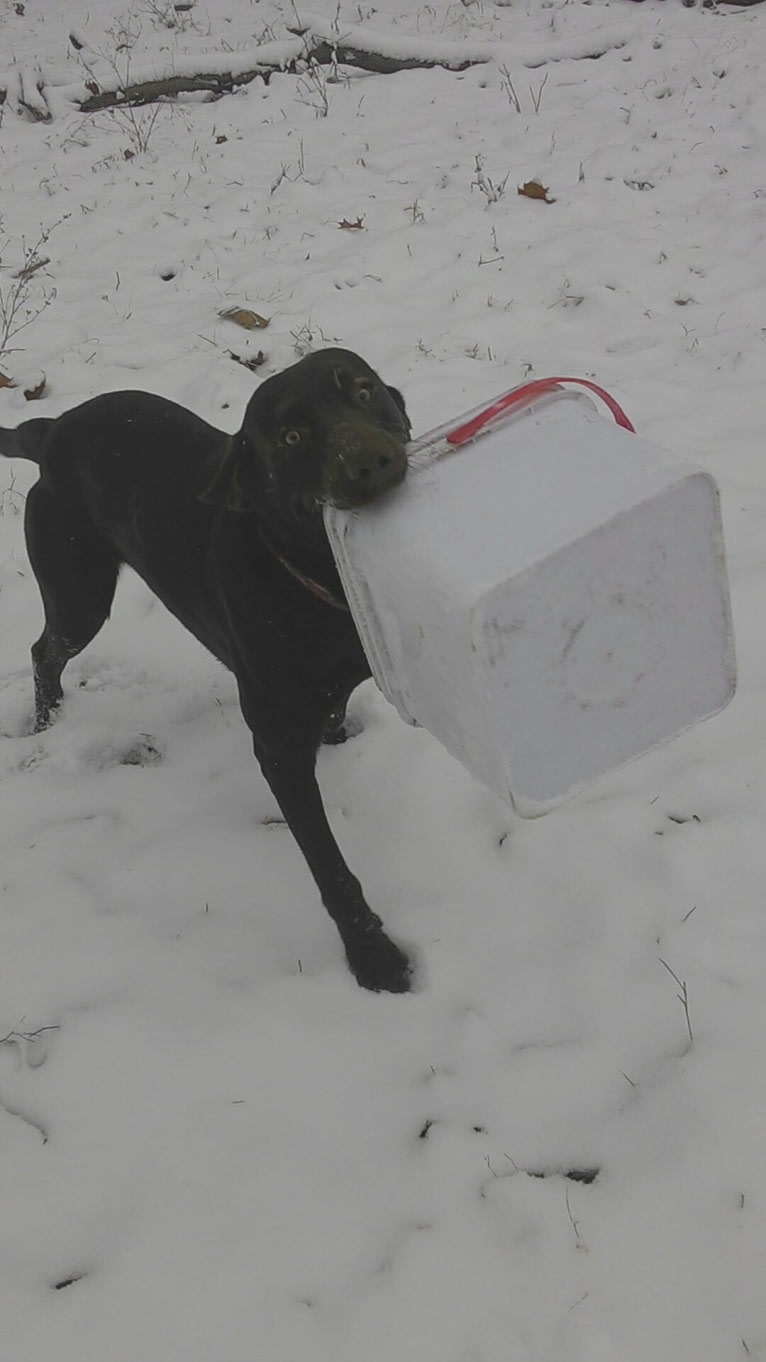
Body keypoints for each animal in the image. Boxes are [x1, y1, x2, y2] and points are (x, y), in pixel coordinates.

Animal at [0, 351, 414, 991]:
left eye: (364, 390)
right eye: (290, 437)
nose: (370, 461)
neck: (319, 584)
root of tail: (52, 429)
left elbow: (335, 712)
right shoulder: (277, 750)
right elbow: (331, 867)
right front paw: (372, 956)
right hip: (79, 594)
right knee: (44, 651)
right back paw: (48, 723)